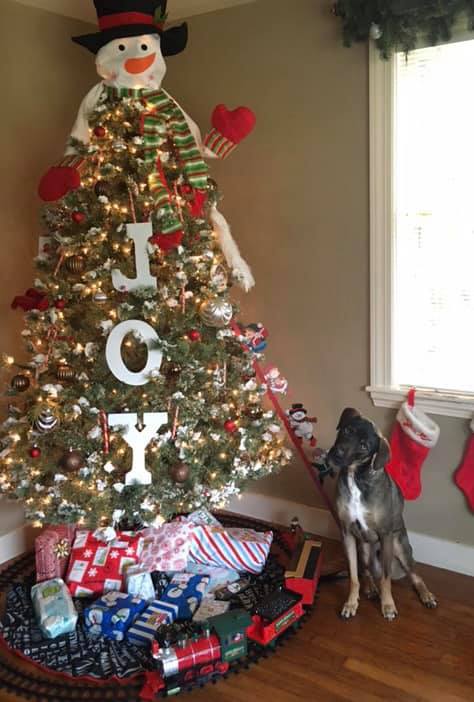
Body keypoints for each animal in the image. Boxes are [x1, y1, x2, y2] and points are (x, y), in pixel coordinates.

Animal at [327, 408, 437, 621]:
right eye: (347, 430)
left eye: (364, 446)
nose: (337, 453)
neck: (357, 477)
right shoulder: (347, 533)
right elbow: (354, 576)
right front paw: (351, 603)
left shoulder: (386, 536)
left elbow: (386, 580)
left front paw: (388, 605)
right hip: (363, 548)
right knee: (367, 572)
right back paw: (370, 587)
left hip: (400, 548)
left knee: (415, 575)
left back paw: (426, 595)